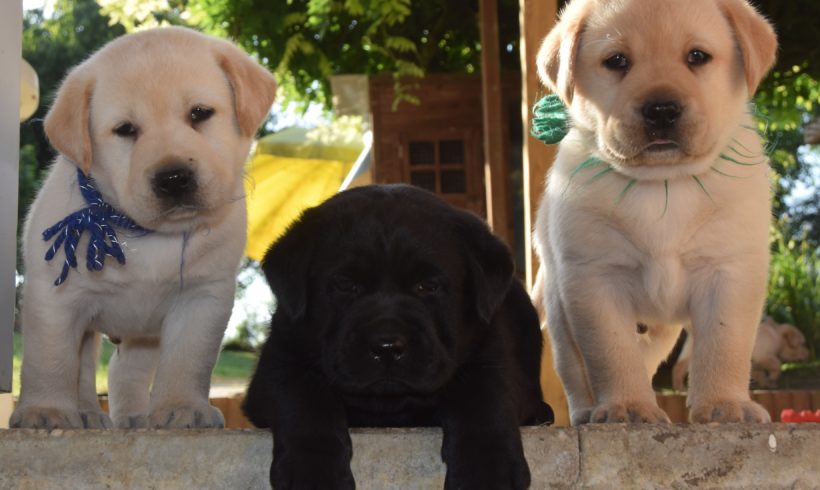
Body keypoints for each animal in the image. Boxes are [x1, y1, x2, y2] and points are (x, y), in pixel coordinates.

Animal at [243, 186, 552, 488]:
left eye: (428, 286)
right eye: (345, 285)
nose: (387, 346)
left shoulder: (490, 352)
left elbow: (484, 399)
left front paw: (487, 473)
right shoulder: (280, 357)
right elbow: (303, 398)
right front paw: (313, 473)